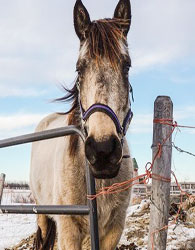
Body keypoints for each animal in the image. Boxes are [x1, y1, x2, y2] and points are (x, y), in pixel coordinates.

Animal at [30, 0, 134, 249]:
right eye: (79, 68)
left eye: (126, 66)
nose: (103, 149)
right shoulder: (68, 229)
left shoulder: (114, 229)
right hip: (42, 214)